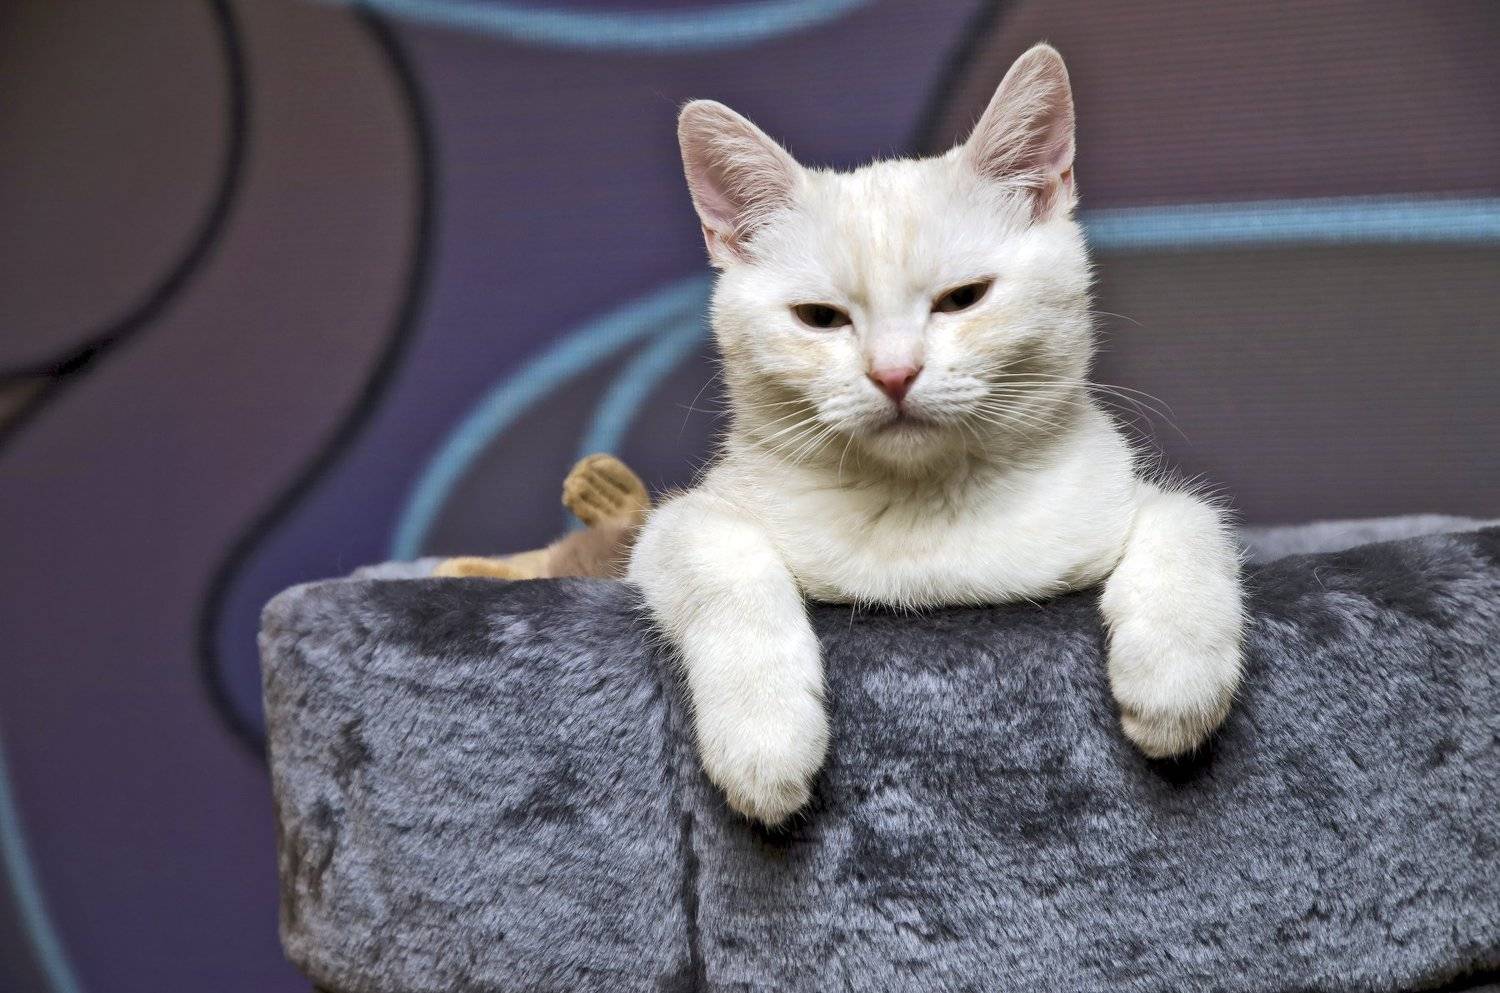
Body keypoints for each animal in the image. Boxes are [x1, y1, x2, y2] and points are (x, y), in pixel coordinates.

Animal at [628, 43, 1244, 826]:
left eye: (963, 299)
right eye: (819, 318)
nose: (894, 372)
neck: (928, 511)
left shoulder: (1114, 499)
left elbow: (1189, 518)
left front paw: (1176, 674)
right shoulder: (680, 524)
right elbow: (718, 555)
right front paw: (764, 734)